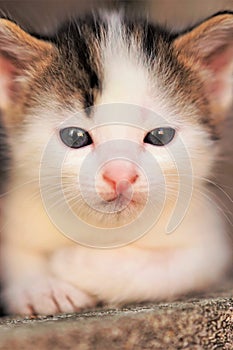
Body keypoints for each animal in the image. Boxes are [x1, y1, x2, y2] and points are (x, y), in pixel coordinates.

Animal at [0, 12, 232, 316]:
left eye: (160, 136)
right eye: (75, 137)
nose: (120, 175)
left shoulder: (208, 243)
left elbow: (171, 268)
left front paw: (73, 262)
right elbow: (14, 253)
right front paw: (42, 289)